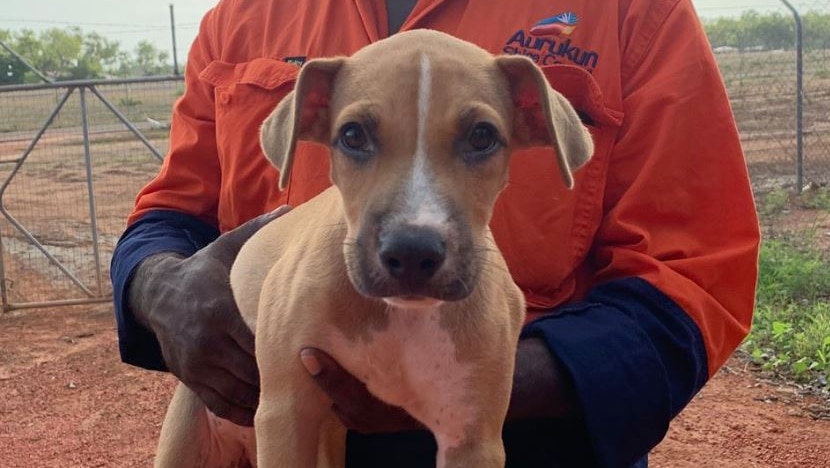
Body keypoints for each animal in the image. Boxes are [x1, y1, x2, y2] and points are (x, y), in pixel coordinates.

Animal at [156, 29, 596, 468]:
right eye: (352, 136)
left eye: (482, 136)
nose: (413, 252)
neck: (403, 317)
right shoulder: (286, 413)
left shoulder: (472, 437)